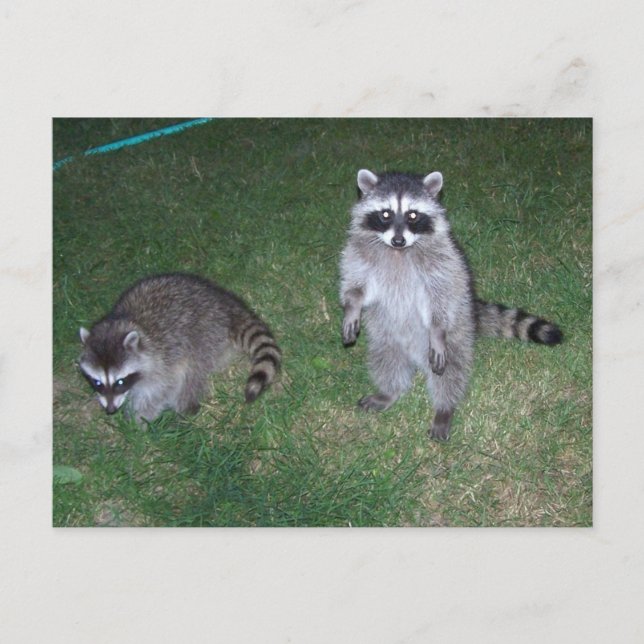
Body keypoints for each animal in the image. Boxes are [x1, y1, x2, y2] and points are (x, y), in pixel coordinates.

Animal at [79, 273, 281, 424]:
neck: (126, 324)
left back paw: (186, 404)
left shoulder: (165, 357)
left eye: (120, 381)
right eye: (97, 382)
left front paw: (141, 418)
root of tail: (226, 304)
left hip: (205, 333)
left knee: (194, 371)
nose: (110, 410)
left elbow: (162, 388)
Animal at [340, 169, 562, 441]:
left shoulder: (445, 263)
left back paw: (444, 406)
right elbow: (356, 284)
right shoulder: (358, 254)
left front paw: (437, 329)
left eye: (412, 215)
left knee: (451, 370)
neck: (398, 252)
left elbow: (440, 296)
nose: (399, 240)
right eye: (386, 214)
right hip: (385, 336)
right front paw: (352, 306)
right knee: (386, 359)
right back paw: (390, 391)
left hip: (457, 333)